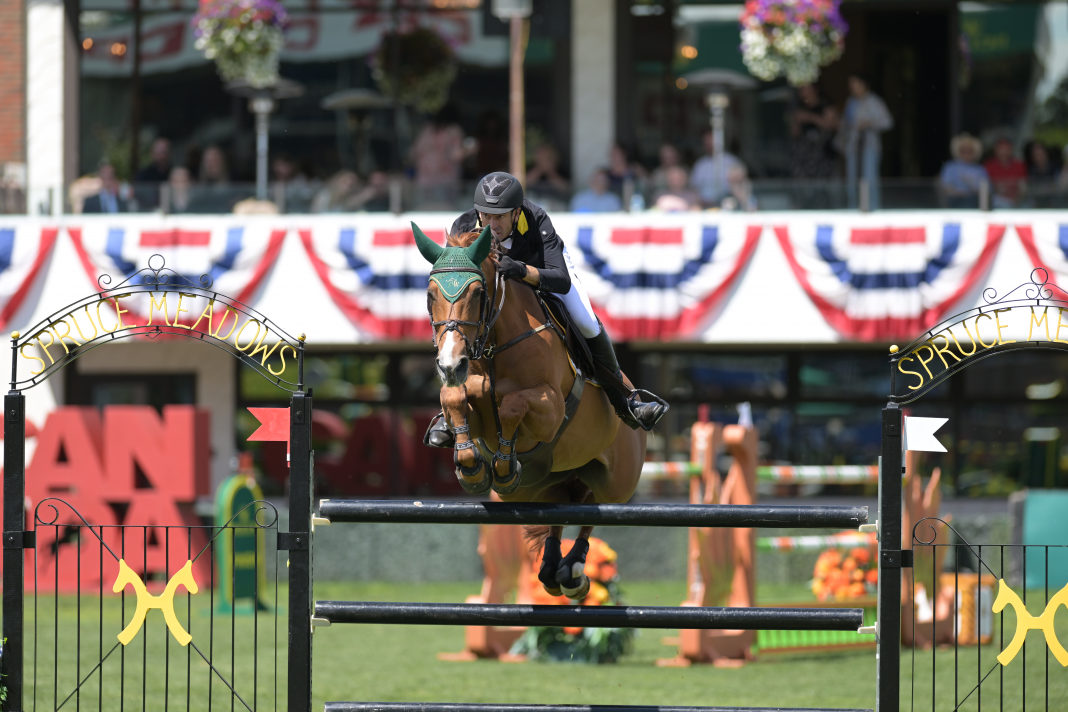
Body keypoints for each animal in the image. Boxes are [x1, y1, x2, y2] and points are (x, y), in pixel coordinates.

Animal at [413, 223, 647, 599]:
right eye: (431, 294)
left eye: (478, 293)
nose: (450, 364)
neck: (493, 346)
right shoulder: (465, 392)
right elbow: (454, 399)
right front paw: (471, 467)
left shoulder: (549, 410)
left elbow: (512, 405)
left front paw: (503, 464)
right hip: (537, 488)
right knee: (565, 505)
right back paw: (553, 568)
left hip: (618, 481)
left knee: (596, 506)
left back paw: (574, 571)